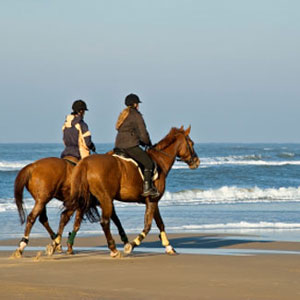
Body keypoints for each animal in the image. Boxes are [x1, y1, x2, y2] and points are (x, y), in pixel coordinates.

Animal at [66, 126, 200, 258]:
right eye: (191, 143)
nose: (197, 161)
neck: (159, 160)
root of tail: (86, 163)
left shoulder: (153, 201)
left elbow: (160, 223)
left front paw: (169, 247)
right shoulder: (152, 201)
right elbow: (148, 226)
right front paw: (132, 245)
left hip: (88, 199)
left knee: (78, 220)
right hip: (105, 199)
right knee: (104, 222)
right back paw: (113, 249)